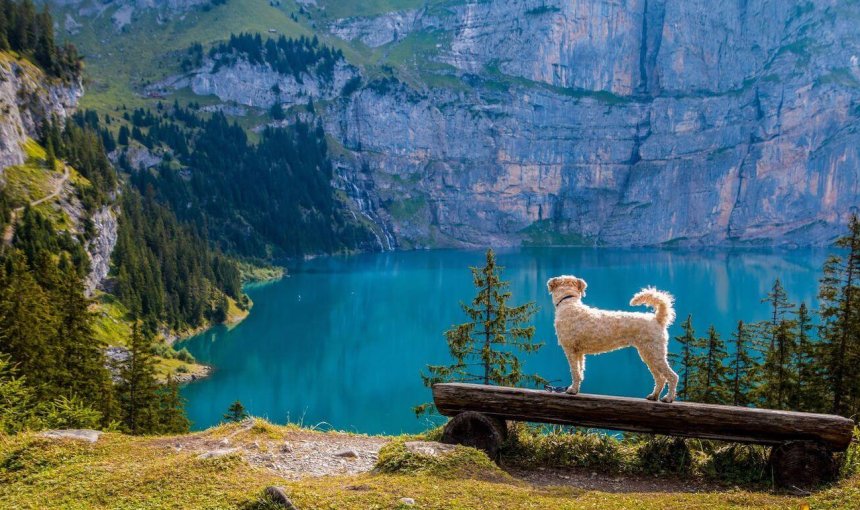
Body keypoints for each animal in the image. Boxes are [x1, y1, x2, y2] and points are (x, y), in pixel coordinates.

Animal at [552, 274, 680, 402]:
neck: (569, 303)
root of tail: (657, 319)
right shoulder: (579, 352)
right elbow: (580, 372)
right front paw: (576, 389)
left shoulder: (570, 349)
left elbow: (574, 372)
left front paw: (572, 390)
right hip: (648, 354)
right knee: (660, 378)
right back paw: (653, 396)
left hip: (654, 353)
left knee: (672, 376)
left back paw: (668, 398)